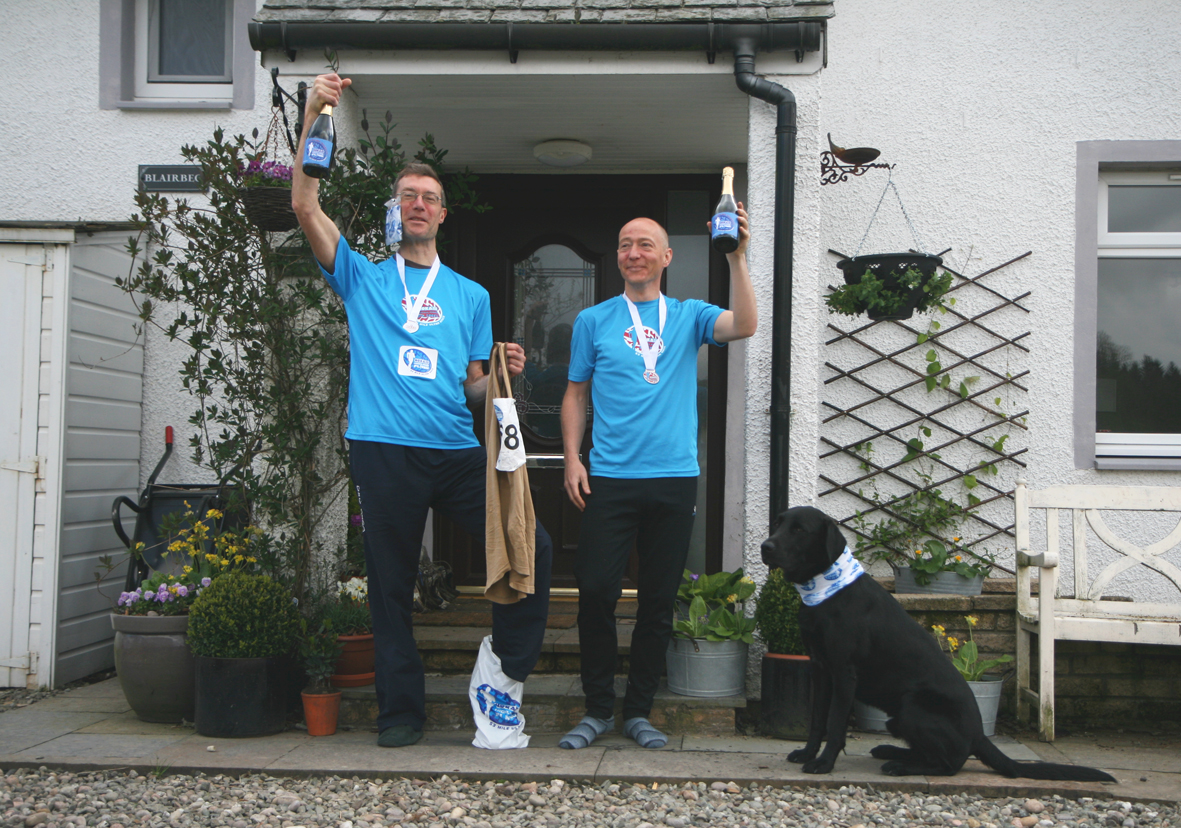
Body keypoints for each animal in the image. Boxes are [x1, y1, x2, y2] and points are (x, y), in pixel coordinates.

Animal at [760, 505, 1115, 782]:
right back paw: (891, 751)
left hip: (913, 706)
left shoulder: (844, 673)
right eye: (777, 524)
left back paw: (899, 766)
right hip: (897, 717)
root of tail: (978, 735)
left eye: (799, 530)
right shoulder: (821, 669)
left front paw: (823, 763)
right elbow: (817, 720)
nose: (766, 546)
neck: (826, 590)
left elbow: (834, 724)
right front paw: (807, 753)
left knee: (951, 764)